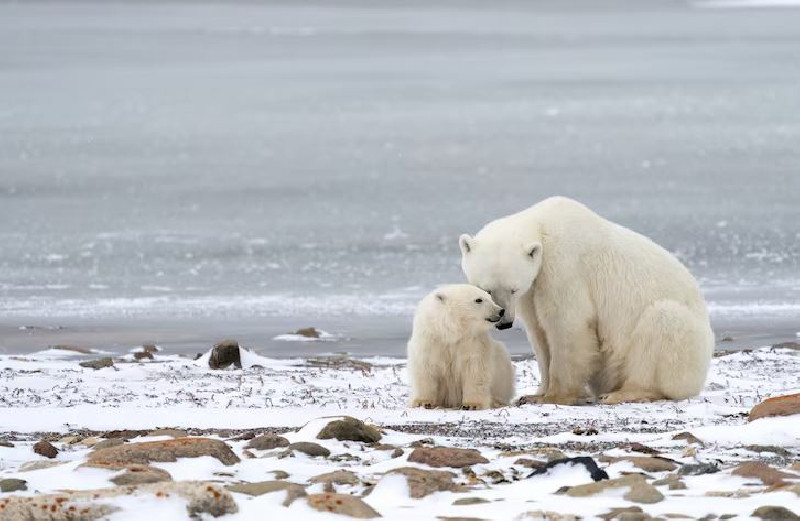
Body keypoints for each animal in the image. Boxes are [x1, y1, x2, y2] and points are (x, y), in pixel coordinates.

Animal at [460, 197, 716, 404]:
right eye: (486, 289)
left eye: (513, 289)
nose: (504, 322)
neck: (542, 225)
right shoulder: (533, 290)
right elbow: (540, 333)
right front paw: (535, 393)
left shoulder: (563, 268)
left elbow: (568, 326)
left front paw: (554, 396)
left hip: (686, 347)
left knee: (662, 322)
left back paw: (621, 393)